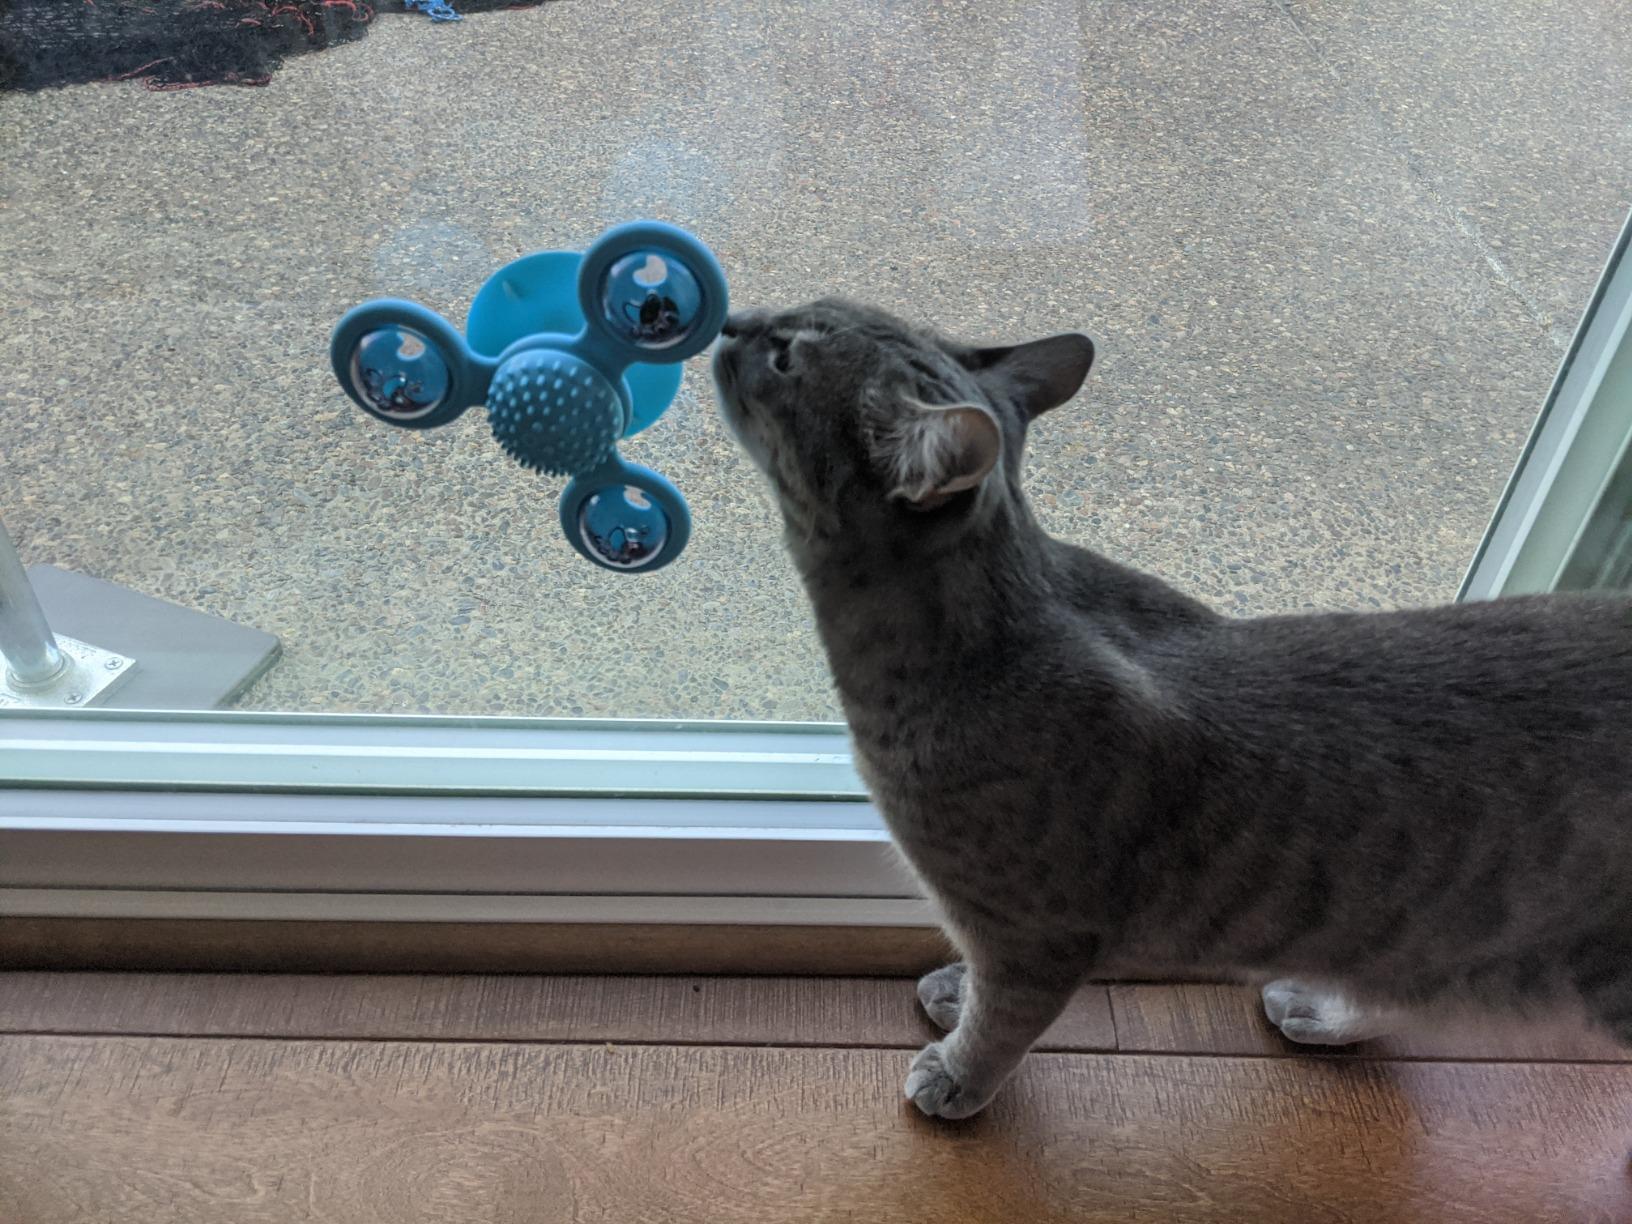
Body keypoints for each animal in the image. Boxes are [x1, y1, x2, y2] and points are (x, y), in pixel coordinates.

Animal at [712, 297, 1632, 1121]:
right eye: (799, 307)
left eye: (786, 354)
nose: (733, 323)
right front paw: (952, 995)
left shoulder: (1032, 934)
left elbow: (1003, 1023)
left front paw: (956, 1075)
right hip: (1434, 926)